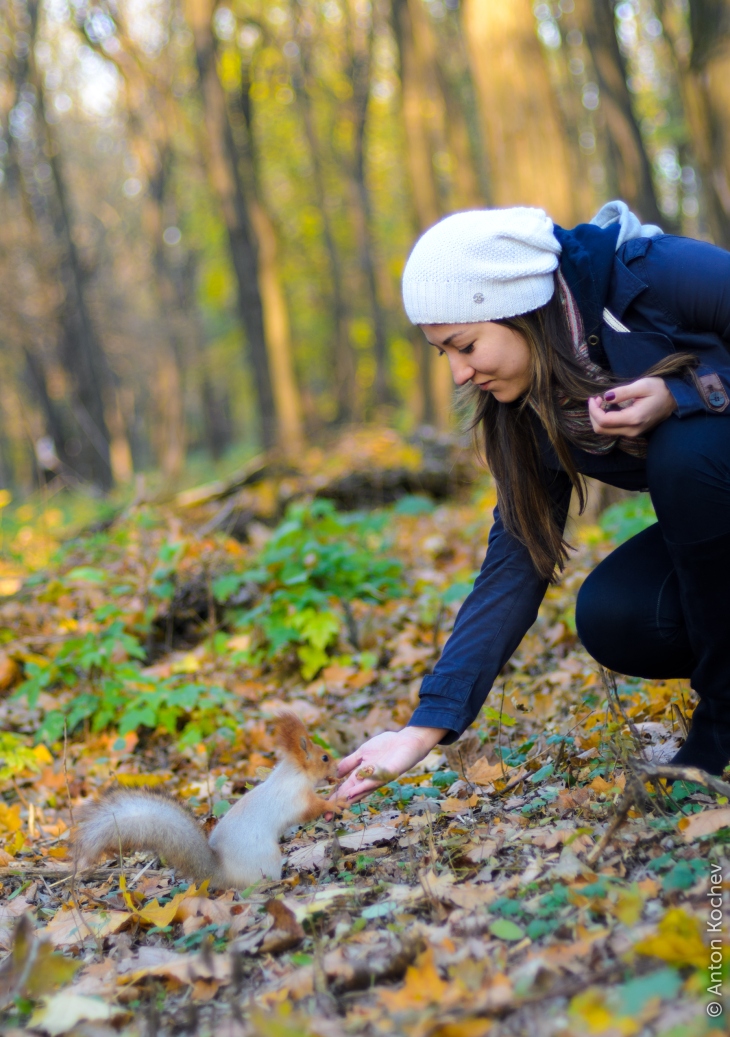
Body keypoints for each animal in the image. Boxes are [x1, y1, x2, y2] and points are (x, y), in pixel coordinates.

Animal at [71, 713, 342, 891]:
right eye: (325, 758)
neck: (293, 774)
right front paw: (334, 803)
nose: (338, 768)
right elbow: (311, 809)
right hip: (268, 859)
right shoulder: (294, 798)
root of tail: (223, 874)